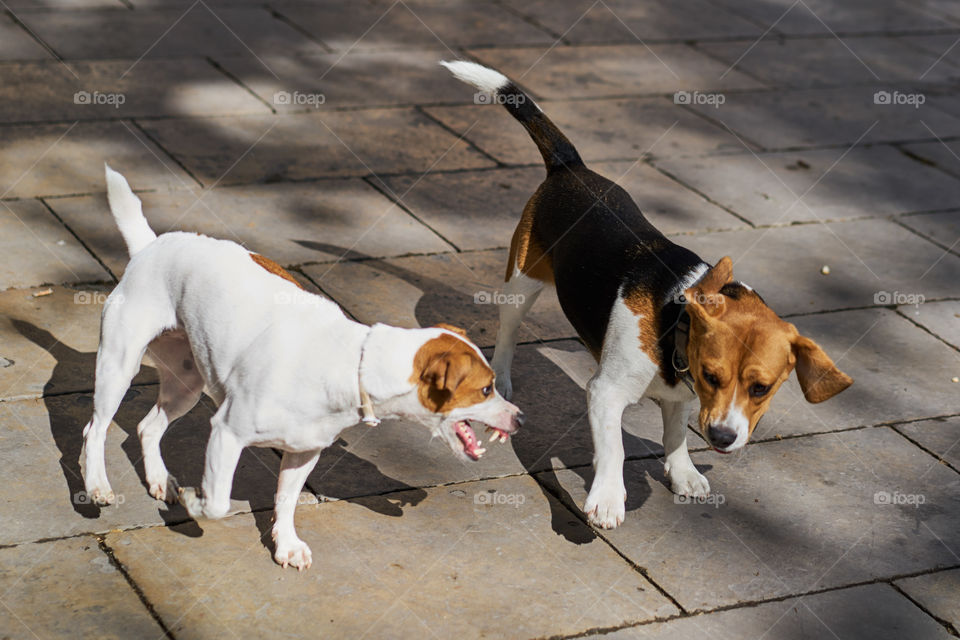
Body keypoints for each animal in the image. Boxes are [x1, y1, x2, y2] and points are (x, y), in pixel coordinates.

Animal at [80, 166, 524, 568]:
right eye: (486, 389)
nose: (520, 418)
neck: (351, 364)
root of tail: (150, 245)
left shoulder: (304, 450)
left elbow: (287, 500)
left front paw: (286, 544)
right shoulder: (226, 433)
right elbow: (219, 501)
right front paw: (197, 501)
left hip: (186, 382)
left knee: (147, 426)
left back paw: (157, 478)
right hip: (119, 365)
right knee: (96, 428)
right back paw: (98, 485)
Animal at [440, 61, 848, 528]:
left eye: (761, 388)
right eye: (712, 375)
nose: (722, 437)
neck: (674, 323)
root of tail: (570, 166)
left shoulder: (682, 398)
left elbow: (675, 433)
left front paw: (682, 472)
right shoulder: (605, 393)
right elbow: (614, 448)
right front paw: (607, 498)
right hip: (521, 281)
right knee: (507, 334)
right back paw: (502, 380)